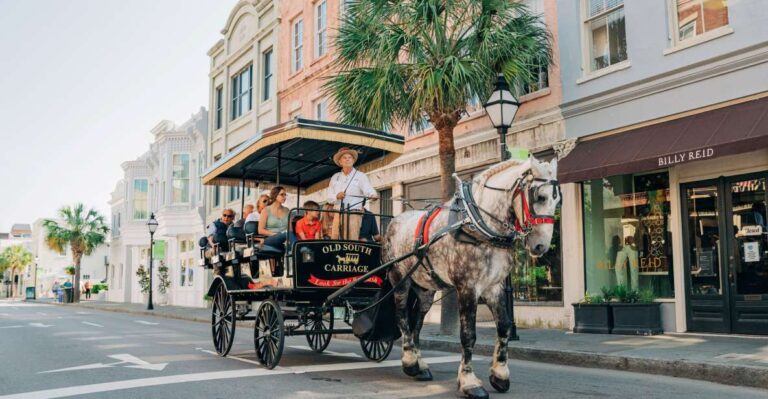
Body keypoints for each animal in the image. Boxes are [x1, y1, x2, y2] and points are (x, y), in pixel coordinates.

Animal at [382, 158, 560, 398]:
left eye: (557, 200)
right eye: (539, 197)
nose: (541, 246)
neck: (479, 224)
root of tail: (393, 222)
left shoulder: (494, 286)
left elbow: (504, 326)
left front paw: (500, 374)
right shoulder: (468, 287)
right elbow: (468, 335)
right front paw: (469, 382)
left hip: (425, 288)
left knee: (416, 322)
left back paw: (420, 366)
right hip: (399, 278)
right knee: (402, 317)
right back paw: (410, 362)